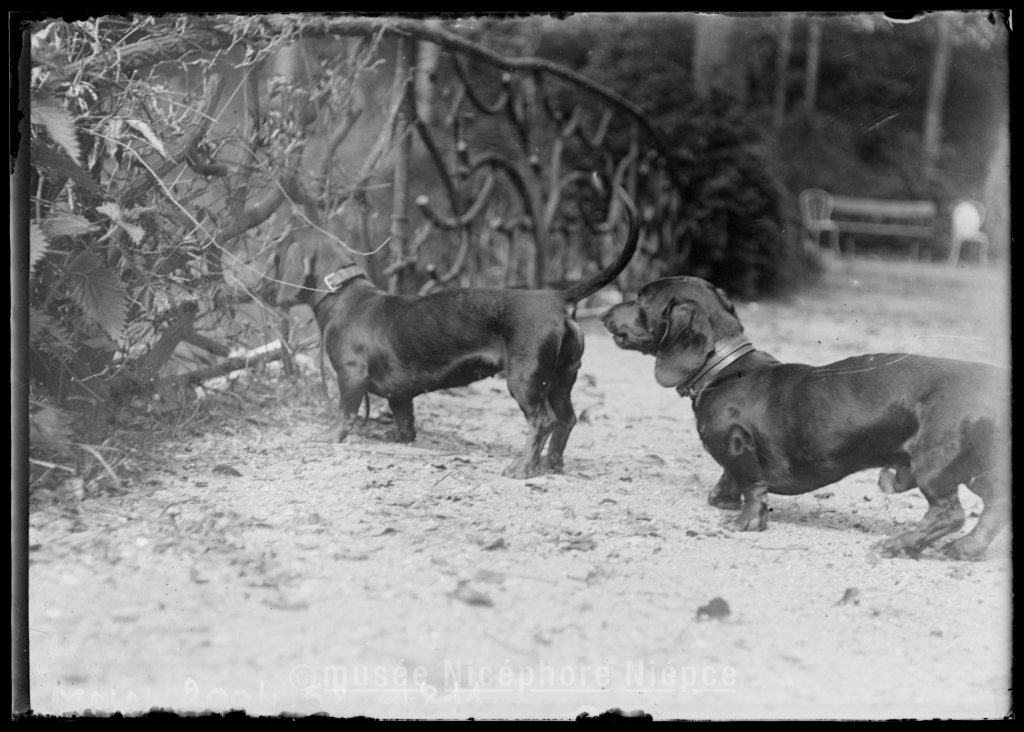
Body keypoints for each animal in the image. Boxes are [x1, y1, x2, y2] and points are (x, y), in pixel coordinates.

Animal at [274, 187, 639, 479]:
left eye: (277, 249)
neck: (345, 295)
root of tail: (558, 298)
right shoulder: (400, 394)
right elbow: (405, 419)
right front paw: (399, 438)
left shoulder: (350, 377)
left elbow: (345, 412)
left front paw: (329, 435)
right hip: (562, 380)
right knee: (567, 420)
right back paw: (551, 464)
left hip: (525, 379)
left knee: (543, 422)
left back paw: (521, 469)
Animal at [602, 276, 1009, 560]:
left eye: (640, 299)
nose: (604, 313)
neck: (724, 369)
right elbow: (728, 479)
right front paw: (723, 498)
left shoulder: (737, 442)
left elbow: (752, 485)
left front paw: (745, 520)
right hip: (977, 469)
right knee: (996, 504)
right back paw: (967, 549)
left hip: (934, 463)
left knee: (949, 514)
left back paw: (897, 544)